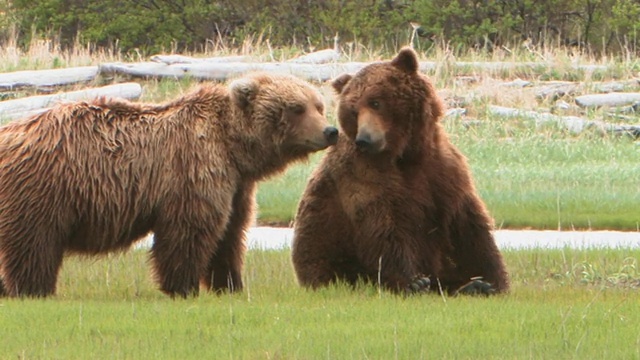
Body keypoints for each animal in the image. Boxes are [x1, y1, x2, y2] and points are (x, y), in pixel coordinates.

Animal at [0, 71, 340, 296]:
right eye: (296, 108)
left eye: (318, 105)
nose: (330, 131)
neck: (232, 147)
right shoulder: (194, 170)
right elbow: (189, 231)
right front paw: (183, 287)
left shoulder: (237, 187)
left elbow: (231, 233)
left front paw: (229, 284)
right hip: (44, 188)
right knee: (35, 244)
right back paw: (34, 289)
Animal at [292, 47, 510, 296]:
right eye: (354, 111)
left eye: (376, 102)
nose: (364, 139)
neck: (406, 154)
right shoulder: (364, 173)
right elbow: (383, 225)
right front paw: (413, 282)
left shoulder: (443, 169)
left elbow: (466, 223)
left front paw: (491, 280)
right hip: (331, 258)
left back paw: (470, 286)